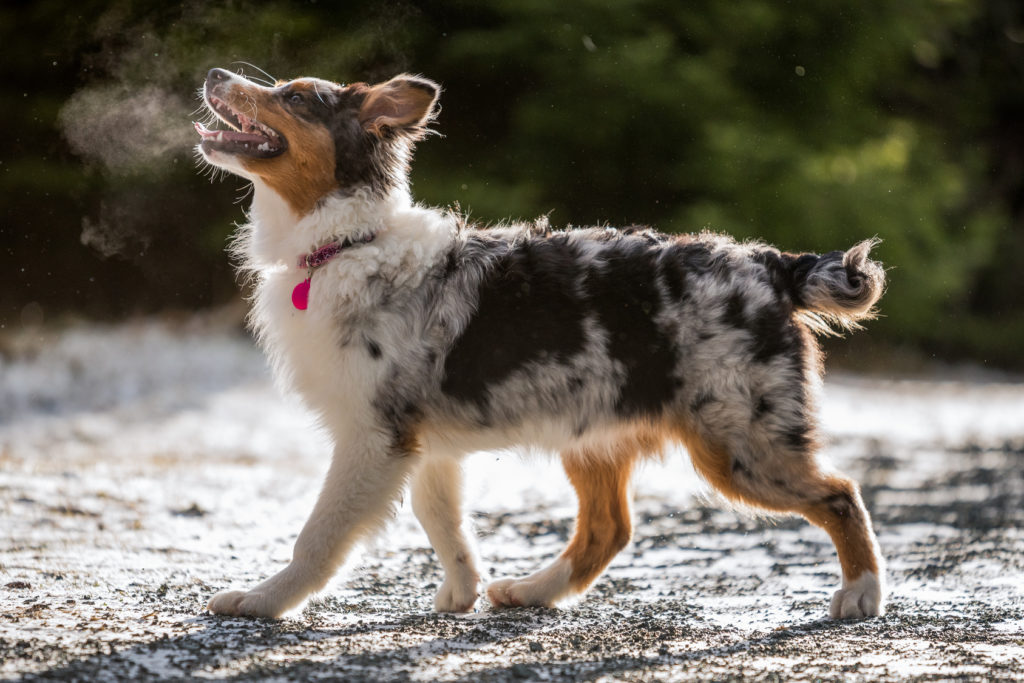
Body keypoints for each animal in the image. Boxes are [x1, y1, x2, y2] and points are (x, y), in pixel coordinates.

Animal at [195, 68, 884, 618]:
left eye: (295, 97)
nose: (215, 72)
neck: (345, 243)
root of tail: (774, 265)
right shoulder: (424, 443)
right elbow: (442, 520)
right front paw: (463, 592)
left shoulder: (373, 437)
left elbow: (319, 535)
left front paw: (263, 599)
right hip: (598, 434)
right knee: (608, 529)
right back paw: (531, 591)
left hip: (740, 444)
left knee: (840, 494)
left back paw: (863, 594)